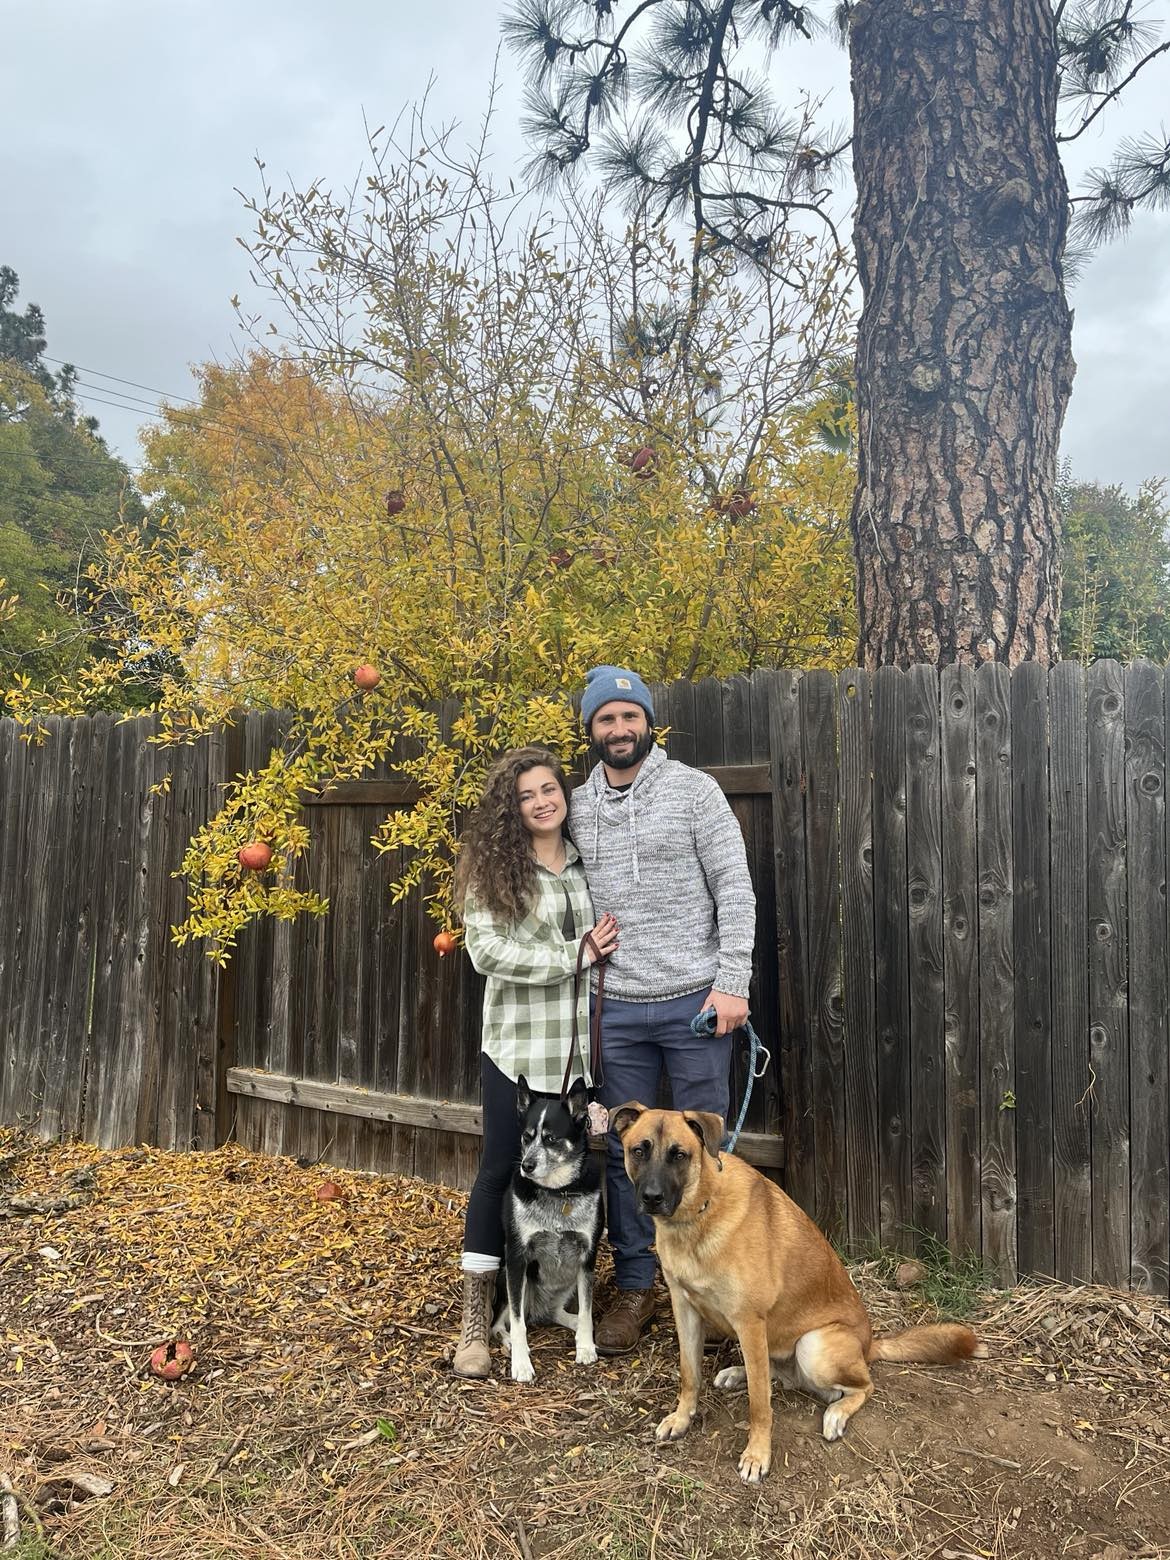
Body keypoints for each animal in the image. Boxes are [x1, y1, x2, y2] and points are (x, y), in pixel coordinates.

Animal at [494, 1075, 603, 1383]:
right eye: (526, 1137)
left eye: (551, 1138)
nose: (526, 1165)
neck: (557, 1192)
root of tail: (538, 1308)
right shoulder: (517, 1257)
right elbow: (518, 1323)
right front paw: (521, 1363)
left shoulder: (587, 1257)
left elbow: (587, 1310)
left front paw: (585, 1346)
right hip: (505, 1276)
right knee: (501, 1324)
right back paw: (508, 1342)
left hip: (568, 1281)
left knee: (557, 1312)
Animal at [611, 1103, 987, 1484]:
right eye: (638, 1150)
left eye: (679, 1155)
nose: (651, 1198)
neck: (701, 1209)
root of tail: (869, 1345)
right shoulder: (685, 1308)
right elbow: (690, 1374)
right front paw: (682, 1418)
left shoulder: (749, 1321)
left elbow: (760, 1404)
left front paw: (757, 1454)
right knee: (776, 1375)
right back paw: (738, 1373)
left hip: (813, 1345)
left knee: (861, 1386)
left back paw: (836, 1413)